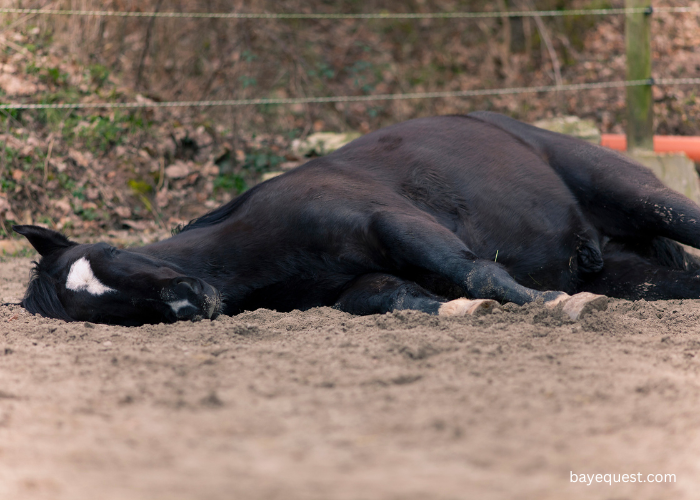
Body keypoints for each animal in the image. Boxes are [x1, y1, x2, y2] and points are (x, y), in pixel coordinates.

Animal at [9, 111, 700, 326]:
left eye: (112, 256)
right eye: (101, 310)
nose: (190, 301)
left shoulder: (392, 222)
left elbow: (476, 271)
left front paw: (555, 303)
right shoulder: (358, 285)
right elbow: (391, 296)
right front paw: (455, 310)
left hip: (639, 194)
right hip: (633, 272)